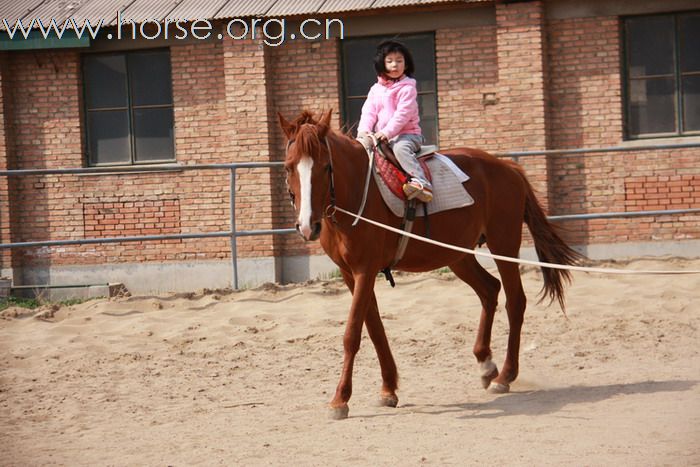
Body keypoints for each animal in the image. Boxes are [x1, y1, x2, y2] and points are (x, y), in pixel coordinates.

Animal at [278, 110, 580, 420]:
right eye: (289, 167)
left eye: (326, 167)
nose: (307, 226)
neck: (356, 192)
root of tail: (508, 167)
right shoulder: (350, 273)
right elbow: (374, 328)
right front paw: (388, 388)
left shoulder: (365, 270)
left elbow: (352, 333)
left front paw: (340, 399)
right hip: (458, 255)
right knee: (489, 290)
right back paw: (486, 365)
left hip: (503, 244)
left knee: (515, 301)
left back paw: (505, 375)